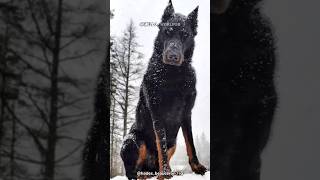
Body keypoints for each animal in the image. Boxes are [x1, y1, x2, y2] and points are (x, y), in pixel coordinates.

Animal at [120, 0, 208, 179]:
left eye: (185, 35)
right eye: (168, 32)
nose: (173, 56)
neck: (172, 74)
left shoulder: (187, 113)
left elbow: (190, 143)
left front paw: (196, 167)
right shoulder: (158, 114)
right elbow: (161, 145)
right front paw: (166, 173)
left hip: (173, 142)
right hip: (132, 140)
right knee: (132, 171)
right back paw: (145, 174)